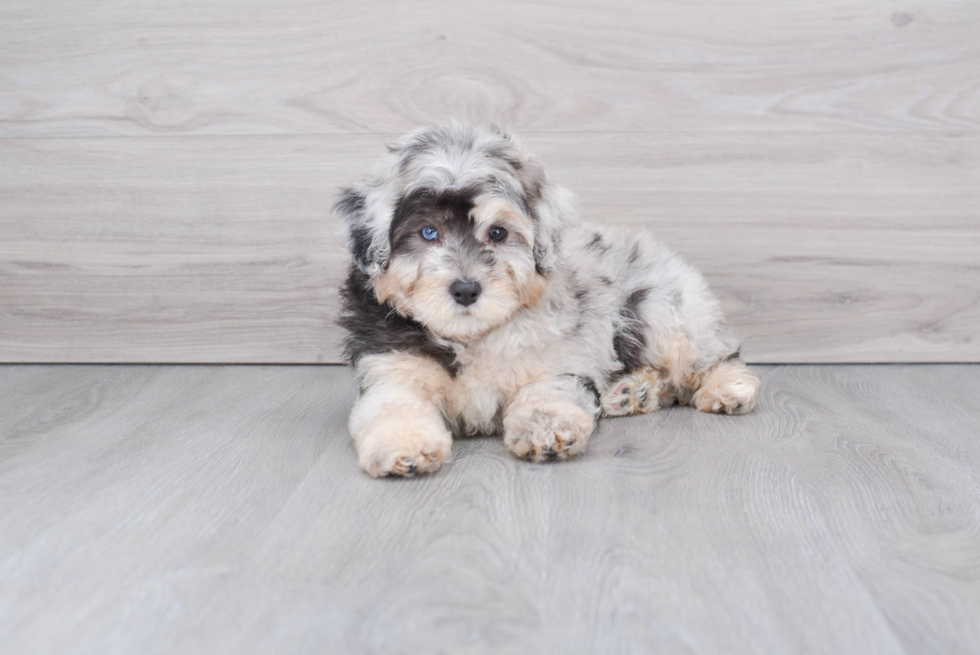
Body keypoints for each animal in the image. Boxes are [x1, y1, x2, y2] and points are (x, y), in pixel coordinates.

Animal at [334, 121, 756, 476]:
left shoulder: (559, 360)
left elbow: (547, 394)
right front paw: (404, 447)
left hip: (663, 311)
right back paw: (630, 393)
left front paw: (547, 429)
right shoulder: (392, 367)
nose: (466, 289)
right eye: (427, 232)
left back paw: (727, 388)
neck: (472, 338)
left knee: (710, 358)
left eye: (498, 233)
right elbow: (392, 406)